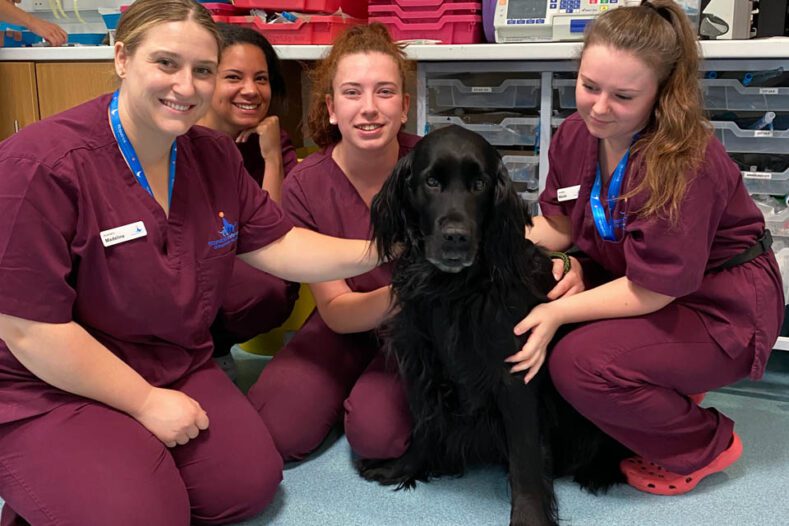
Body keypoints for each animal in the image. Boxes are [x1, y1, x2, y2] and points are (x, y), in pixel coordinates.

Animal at [358, 127, 628, 526]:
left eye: (480, 184)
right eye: (432, 182)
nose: (456, 237)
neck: (456, 289)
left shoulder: (515, 375)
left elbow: (525, 458)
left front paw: (530, 517)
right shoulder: (423, 363)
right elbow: (423, 426)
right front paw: (403, 468)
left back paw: (599, 470)